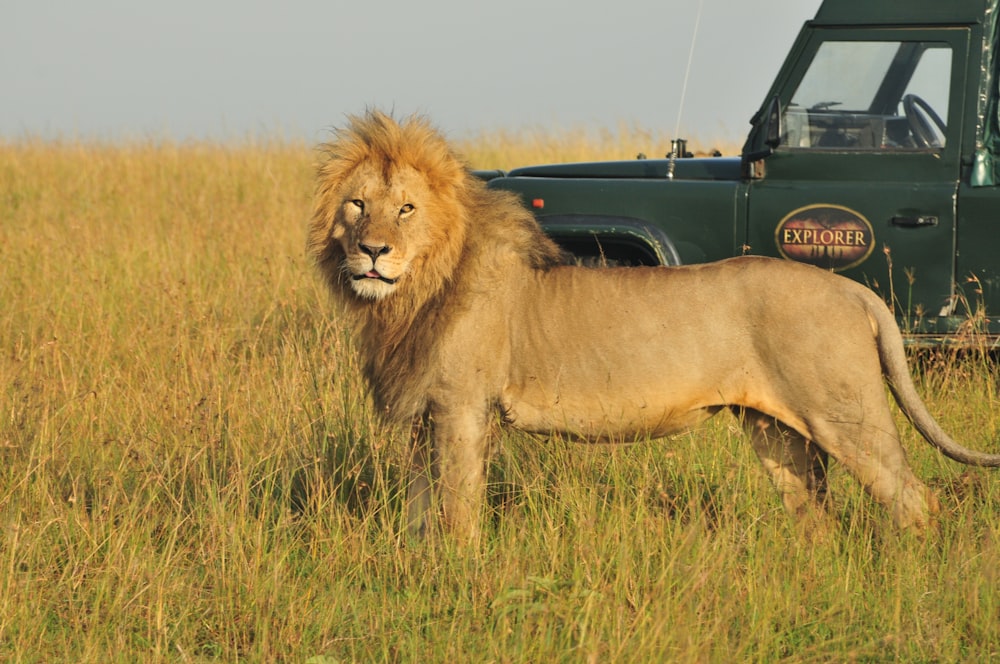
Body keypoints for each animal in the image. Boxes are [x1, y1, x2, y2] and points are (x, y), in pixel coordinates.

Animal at [308, 110, 996, 544]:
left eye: (406, 209)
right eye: (357, 205)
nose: (373, 251)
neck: (410, 297)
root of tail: (854, 290)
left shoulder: (463, 409)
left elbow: (456, 511)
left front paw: (459, 579)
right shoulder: (424, 415)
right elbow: (419, 511)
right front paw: (418, 571)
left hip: (844, 413)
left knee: (915, 500)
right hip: (777, 430)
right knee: (815, 515)